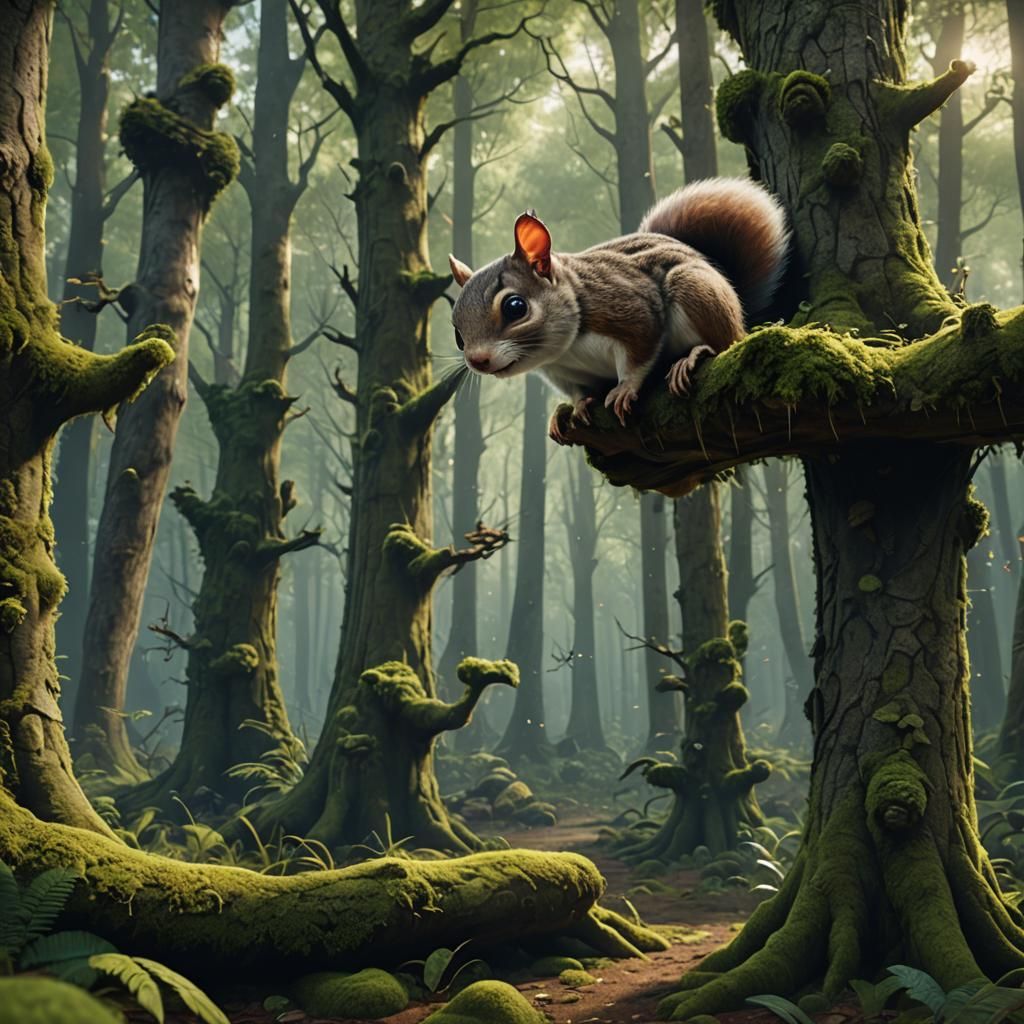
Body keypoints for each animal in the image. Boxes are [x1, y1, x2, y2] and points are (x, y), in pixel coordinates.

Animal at [448, 177, 790, 444]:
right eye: (457, 335)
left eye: (515, 307)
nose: (478, 360)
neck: (565, 350)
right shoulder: (562, 373)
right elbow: (578, 391)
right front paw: (576, 407)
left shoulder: (630, 311)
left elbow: (640, 352)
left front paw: (625, 388)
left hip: (695, 289)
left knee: (728, 340)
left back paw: (693, 356)